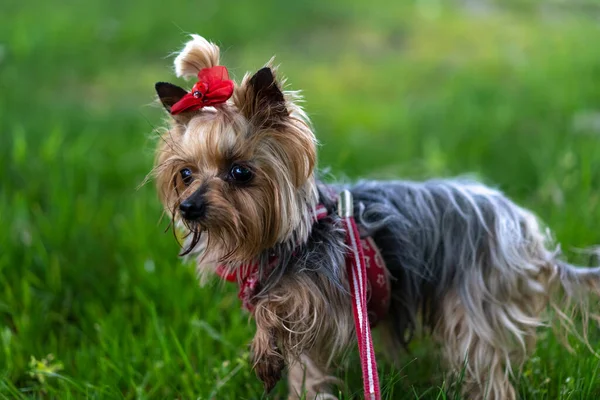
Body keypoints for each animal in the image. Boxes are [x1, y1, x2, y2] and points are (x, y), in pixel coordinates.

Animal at [149, 35, 600, 400]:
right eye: (185, 173)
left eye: (241, 172)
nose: (189, 208)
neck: (289, 238)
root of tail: (520, 224)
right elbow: (307, 368)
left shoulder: (332, 297)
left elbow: (285, 306)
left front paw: (264, 349)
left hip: (476, 298)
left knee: (484, 362)